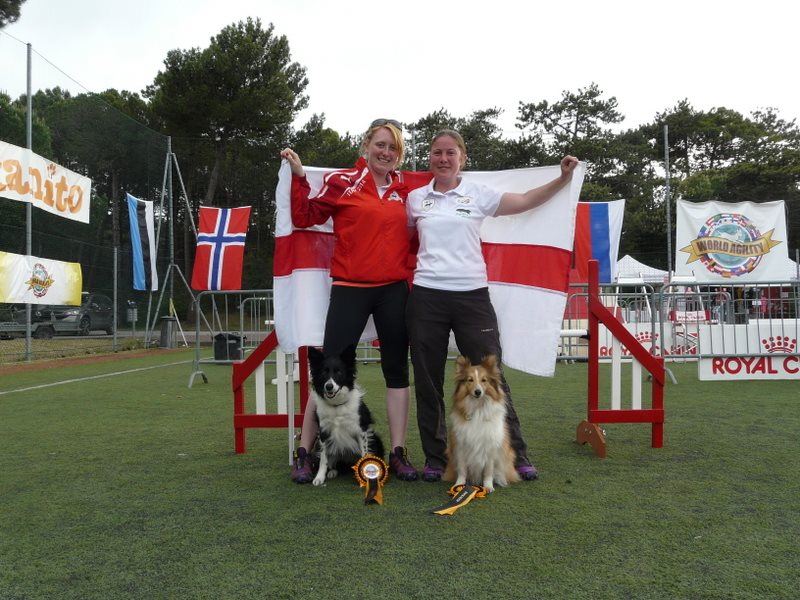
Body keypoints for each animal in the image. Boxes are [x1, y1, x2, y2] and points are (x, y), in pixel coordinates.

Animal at [306, 342, 384, 488]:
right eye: (324, 372)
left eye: (339, 372)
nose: (329, 386)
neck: (337, 406)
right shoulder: (323, 432)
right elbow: (324, 458)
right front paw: (319, 477)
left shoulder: (361, 431)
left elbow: (364, 454)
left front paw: (366, 478)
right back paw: (332, 471)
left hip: (376, 438)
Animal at [444, 354, 520, 490]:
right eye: (470, 380)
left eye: (484, 380)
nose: (478, 392)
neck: (477, 407)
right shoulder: (461, 446)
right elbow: (462, 469)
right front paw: (459, 485)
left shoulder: (490, 447)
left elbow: (488, 471)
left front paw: (488, 486)